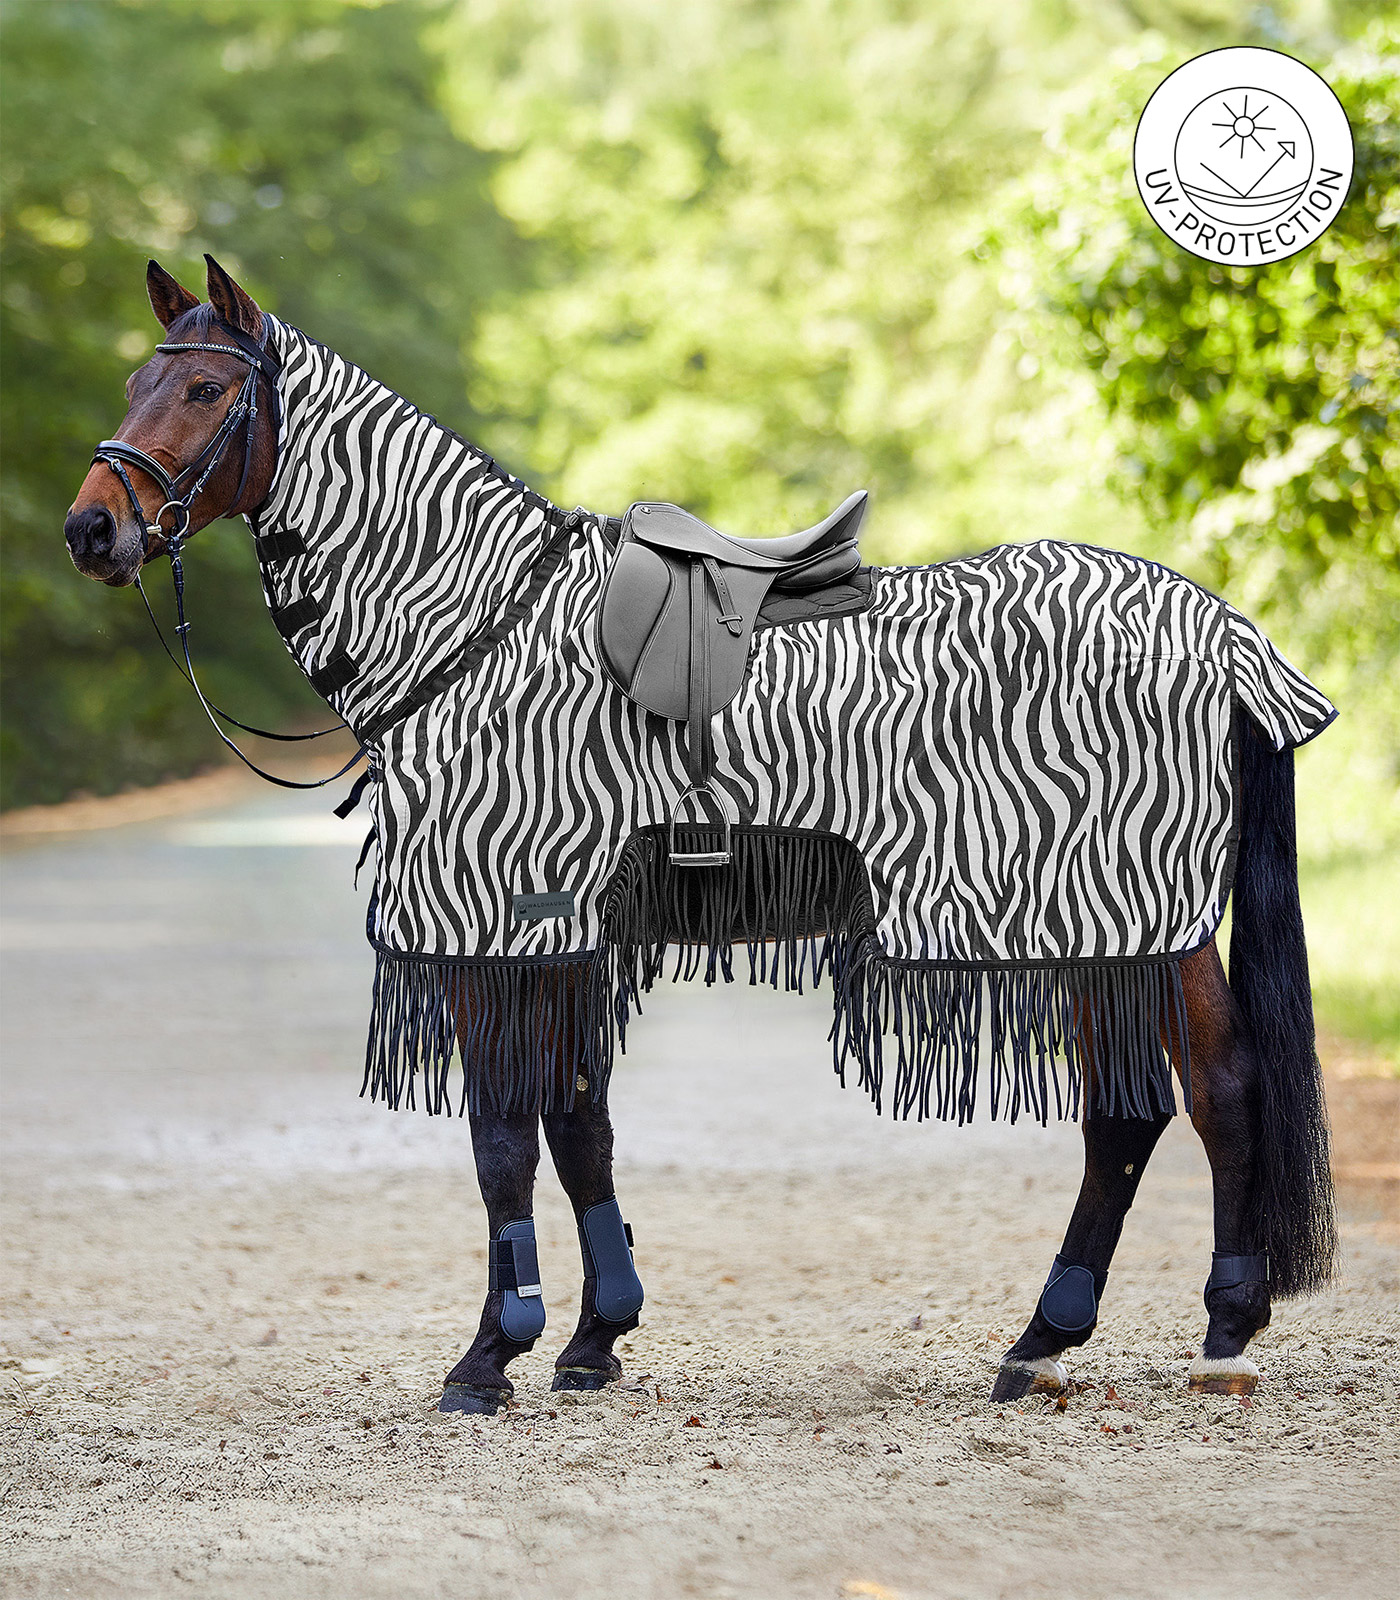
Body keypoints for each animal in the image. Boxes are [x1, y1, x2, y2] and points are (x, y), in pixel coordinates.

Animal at [64, 257, 1337, 1413]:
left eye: (200, 390)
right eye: (132, 379)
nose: (90, 528)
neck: (476, 626)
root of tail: (1221, 629)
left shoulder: (501, 920)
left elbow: (501, 1136)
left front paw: (490, 1354)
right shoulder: (563, 928)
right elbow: (578, 1121)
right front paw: (592, 1339)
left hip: (1127, 911)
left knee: (1203, 1092)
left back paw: (1190, 1330)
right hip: (1099, 922)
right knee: (1150, 1106)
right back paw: (1071, 1337)